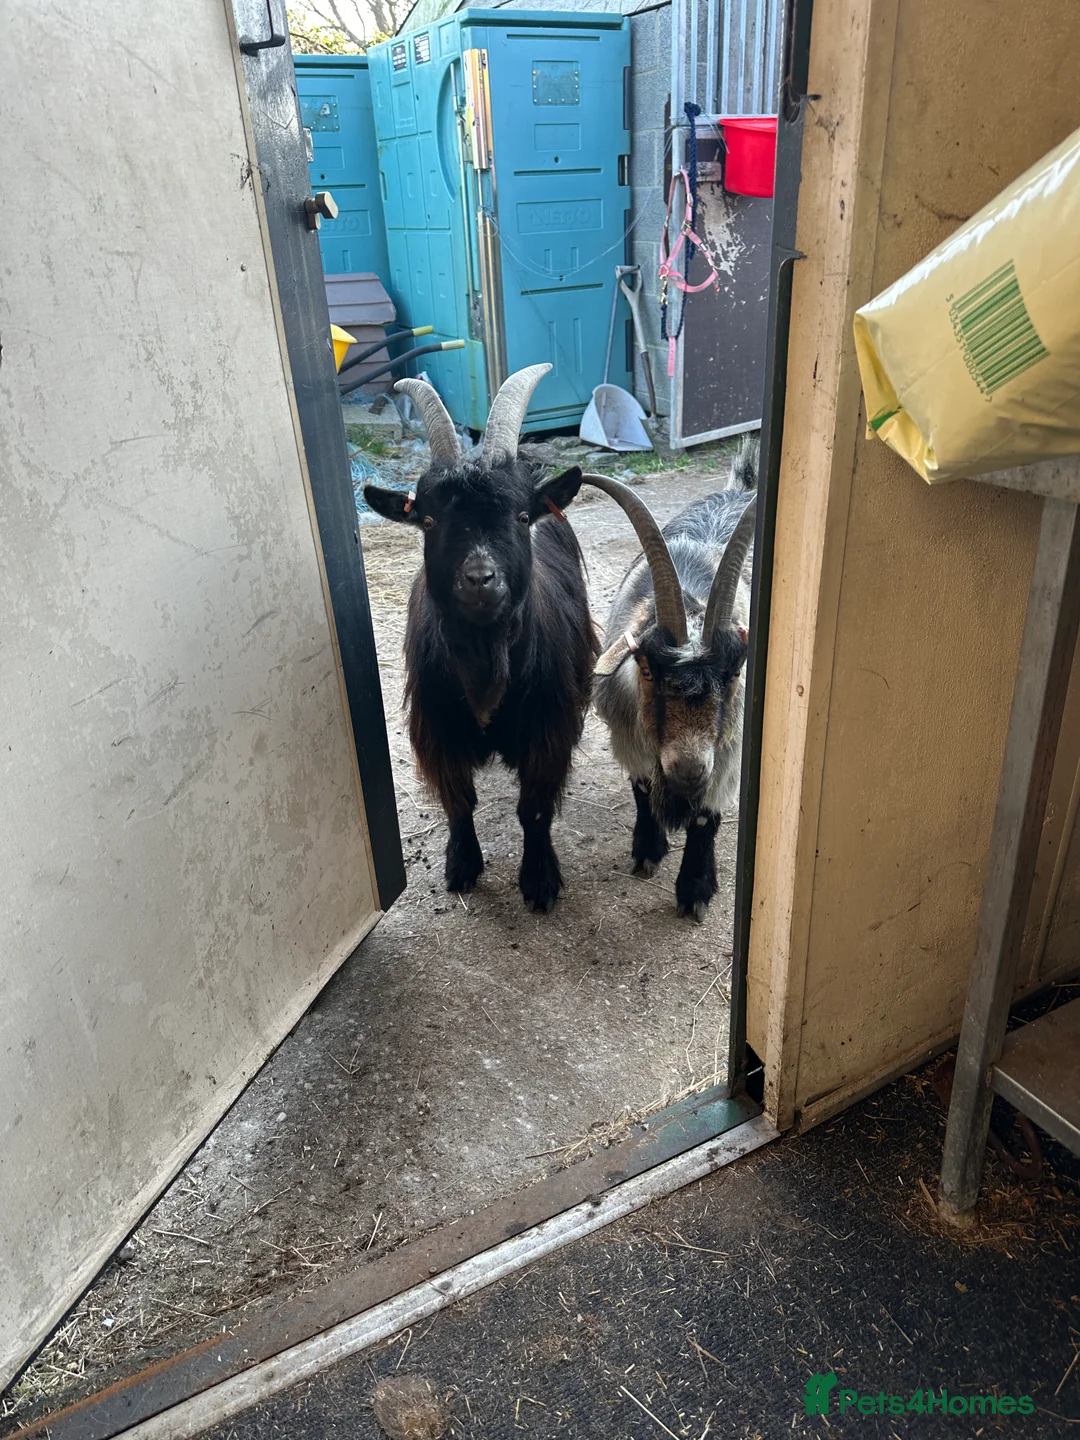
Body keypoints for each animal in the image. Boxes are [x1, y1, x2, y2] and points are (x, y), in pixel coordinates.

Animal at [363, 365, 597, 912]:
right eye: (428, 520)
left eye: (522, 517)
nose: (479, 579)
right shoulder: (438, 728)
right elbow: (458, 801)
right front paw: (462, 865)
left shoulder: (547, 728)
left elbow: (534, 808)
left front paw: (539, 880)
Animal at [582, 442, 758, 920]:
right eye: (646, 667)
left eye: (736, 671)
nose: (688, 772)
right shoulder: (627, 736)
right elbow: (642, 788)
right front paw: (648, 850)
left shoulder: (728, 753)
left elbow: (705, 817)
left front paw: (695, 889)